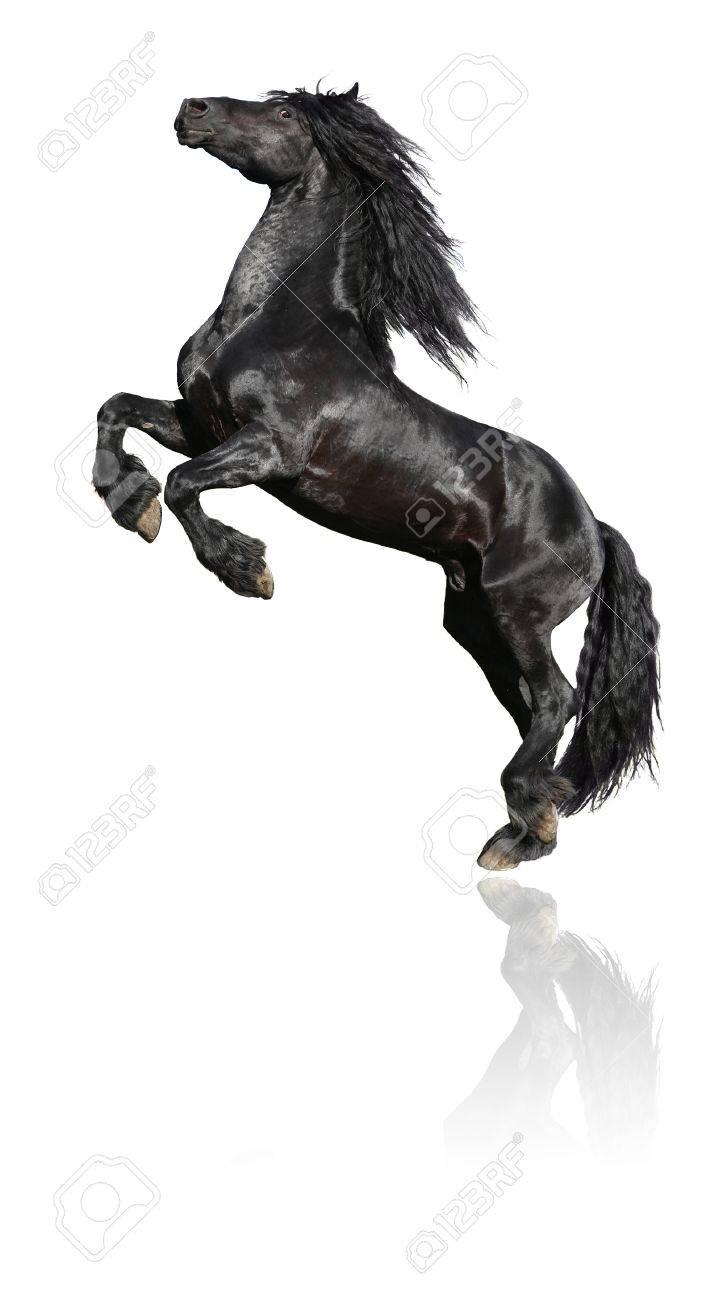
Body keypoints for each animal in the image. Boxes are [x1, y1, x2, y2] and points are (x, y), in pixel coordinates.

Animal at [92, 83, 660, 870]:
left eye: (285, 114)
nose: (192, 108)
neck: (273, 323)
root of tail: (594, 527)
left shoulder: (266, 451)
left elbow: (181, 486)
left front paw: (247, 569)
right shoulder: (197, 423)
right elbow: (114, 410)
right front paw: (127, 500)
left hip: (517, 611)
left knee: (557, 698)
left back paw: (517, 832)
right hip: (475, 621)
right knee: (531, 709)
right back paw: (525, 831)